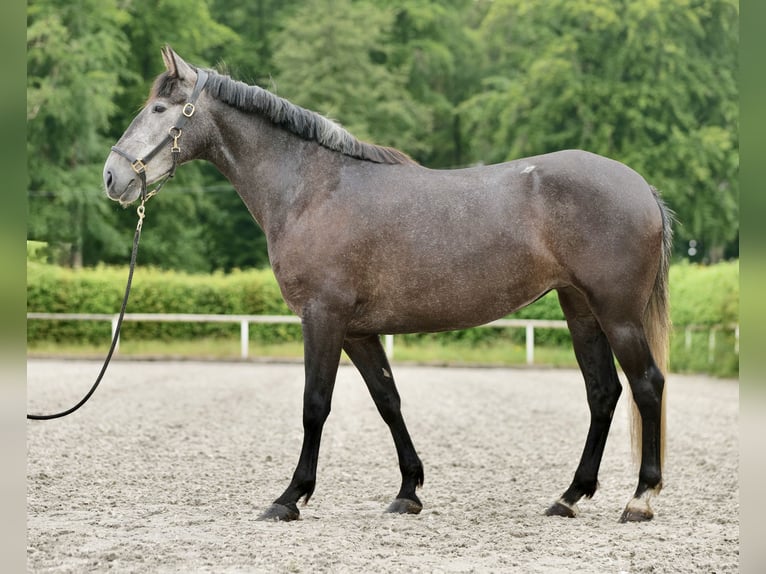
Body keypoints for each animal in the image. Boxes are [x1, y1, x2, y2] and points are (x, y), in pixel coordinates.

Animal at [103, 48, 672, 528]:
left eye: (158, 108)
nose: (112, 177)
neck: (312, 189)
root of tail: (641, 186)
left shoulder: (323, 318)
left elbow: (315, 403)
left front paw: (290, 498)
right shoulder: (358, 332)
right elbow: (388, 400)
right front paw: (408, 492)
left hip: (617, 313)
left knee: (647, 385)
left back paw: (640, 499)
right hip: (580, 310)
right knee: (603, 393)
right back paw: (569, 497)